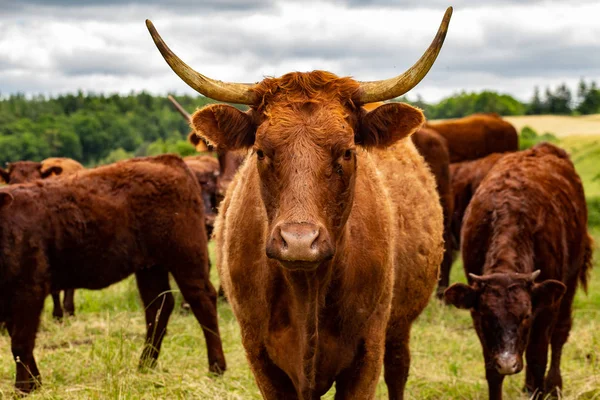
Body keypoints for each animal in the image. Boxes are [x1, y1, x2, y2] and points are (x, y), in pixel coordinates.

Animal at [0, 155, 225, 392]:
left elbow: (20, 344)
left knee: (202, 301)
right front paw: (34, 383)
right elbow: (19, 342)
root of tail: (168, 160)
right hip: (151, 267)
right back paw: (145, 364)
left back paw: (216, 367)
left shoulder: (28, 291)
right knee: (158, 307)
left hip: (186, 257)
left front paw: (23, 389)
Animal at [149, 5, 450, 396]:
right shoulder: (260, 355)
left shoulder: (367, 354)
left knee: (398, 370)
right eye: (261, 151)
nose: (299, 242)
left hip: (399, 329)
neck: (307, 289)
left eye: (347, 151)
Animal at [442, 142, 592, 398]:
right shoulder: (477, 316)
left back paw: (554, 385)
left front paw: (540, 390)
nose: (508, 363)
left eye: (526, 316)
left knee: (559, 334)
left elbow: (538, 356)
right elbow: (492, 371)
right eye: (487, 316)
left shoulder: (545, 308)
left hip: (569, 282)